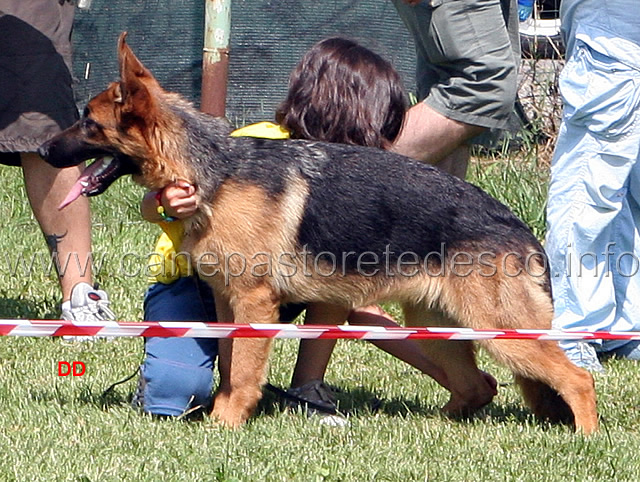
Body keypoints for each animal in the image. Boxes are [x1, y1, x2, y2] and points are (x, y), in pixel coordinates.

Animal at [41, 34, 600, 434]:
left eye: (88, 122)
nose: (43, 150)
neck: (214, 171)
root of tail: (521, 229)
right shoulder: (227, 303)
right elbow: (230, 366)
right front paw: (224, 415)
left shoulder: (253, 303)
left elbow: (243, 372)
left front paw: (226, 425)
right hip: (439, 326)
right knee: (479, 385)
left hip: (501, 332)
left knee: (577, 378)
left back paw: (585, 438)